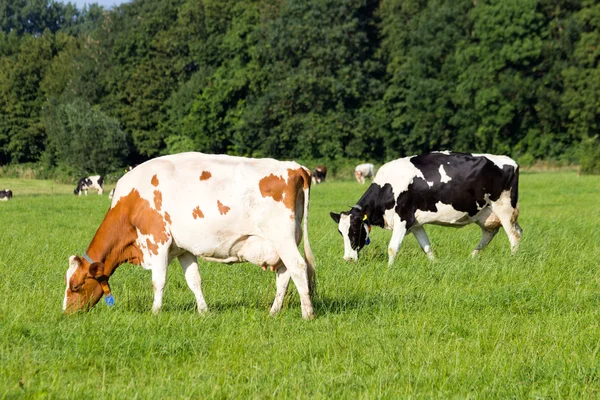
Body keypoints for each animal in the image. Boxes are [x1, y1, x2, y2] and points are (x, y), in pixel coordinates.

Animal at [64, 152, 318, 318]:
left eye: (75, 286)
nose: (66, 313)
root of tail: (296, 167)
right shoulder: (183, 249)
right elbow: (194, 280)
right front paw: (204, 311)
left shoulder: (157, 241)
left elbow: (158, 281)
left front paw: (155, 312)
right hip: (283, 242)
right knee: (285, 274)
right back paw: (274, 312)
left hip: (282, 237)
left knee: (298, 268)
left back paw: (307, 313)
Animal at [330, 153, 524, 266]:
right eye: (341, 232)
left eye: (355, 231)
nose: (348, 259)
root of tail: (511, 161)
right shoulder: (416, 224)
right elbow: (426, 247)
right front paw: (434, 264)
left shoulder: (403, 219)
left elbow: (392, 248)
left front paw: (389, 270)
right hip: (486, 214)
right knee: (492, 234)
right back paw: (472, 257)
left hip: (505, 208)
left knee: (514, 236)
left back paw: (513, 260)